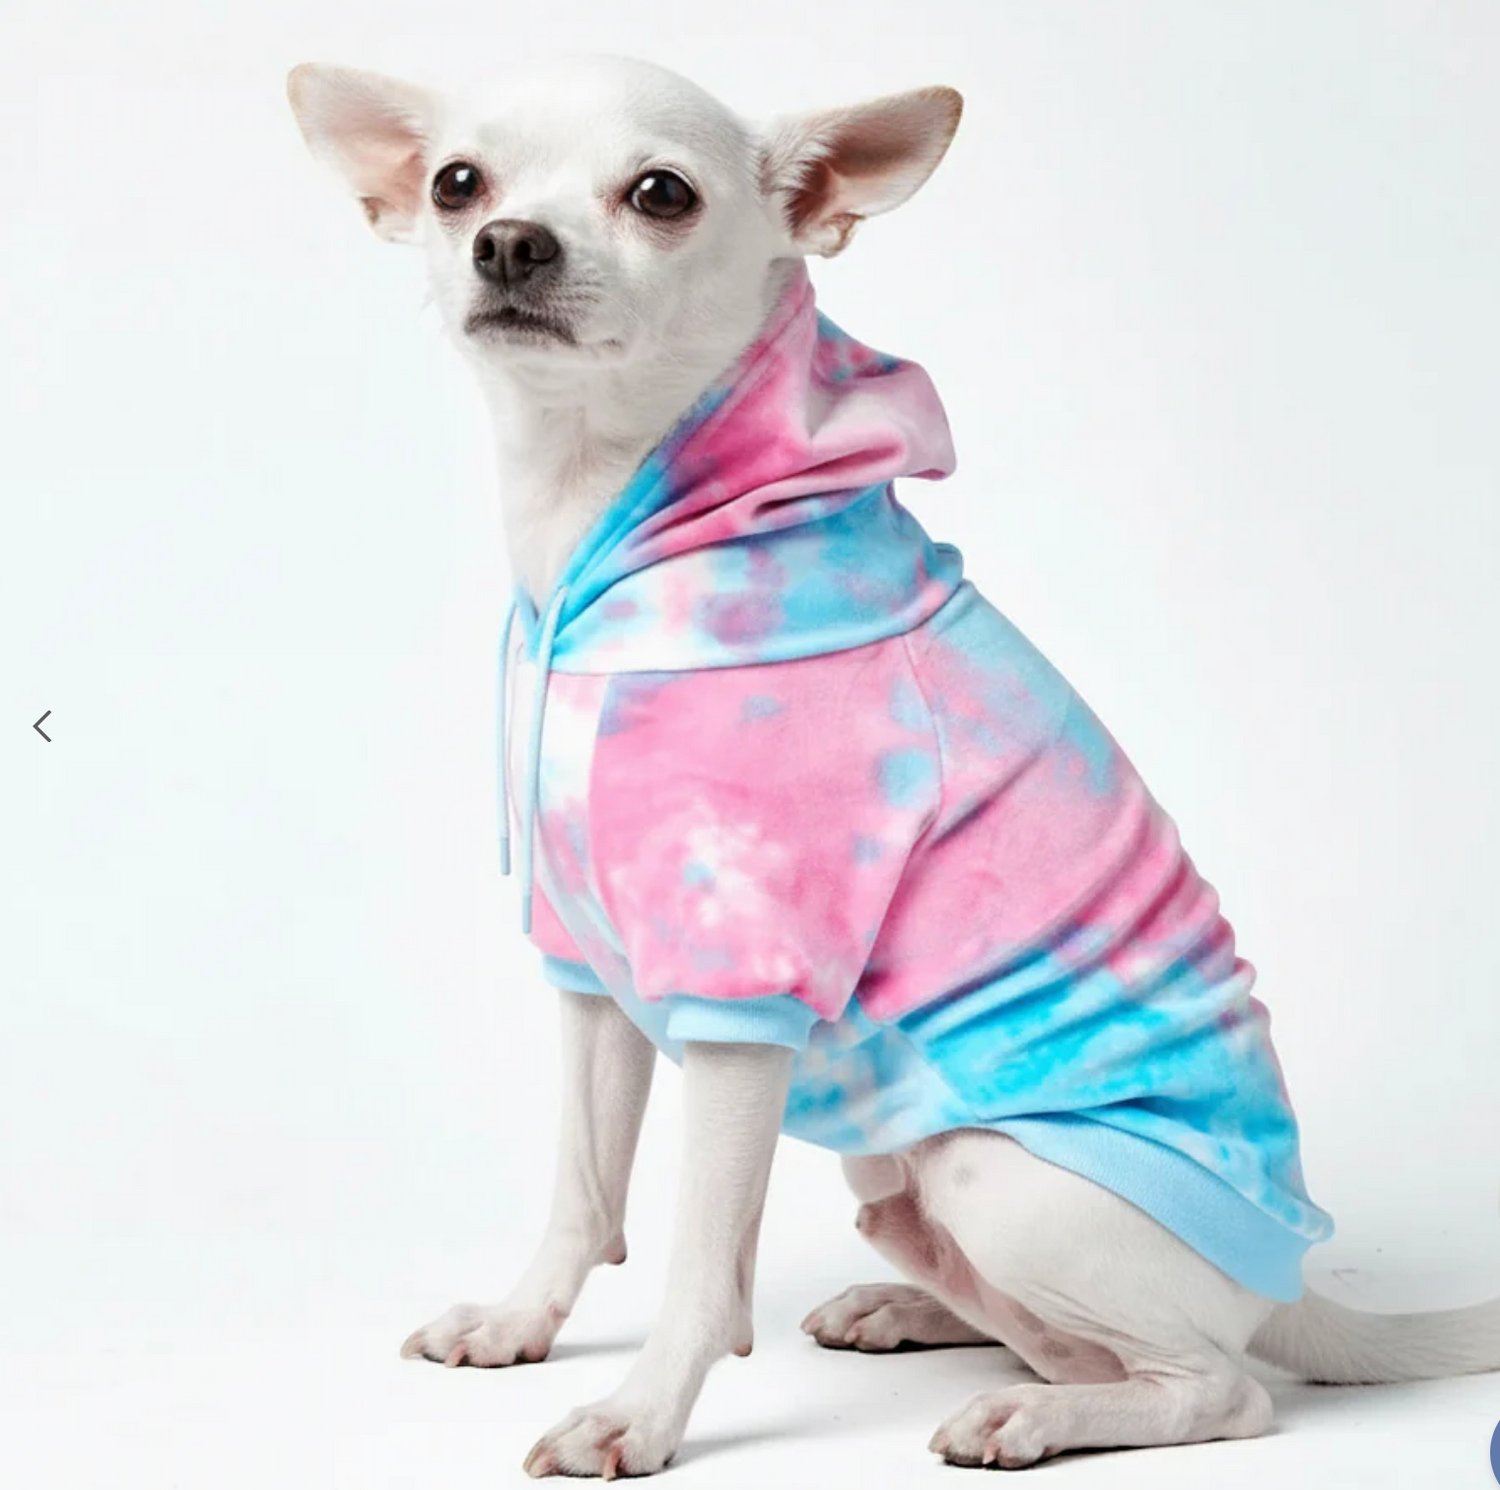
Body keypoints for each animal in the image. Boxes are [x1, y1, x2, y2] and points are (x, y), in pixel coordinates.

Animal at [287, 53, 1500, 1477]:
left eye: (660, 193)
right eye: (457, 182)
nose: (511, 242)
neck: (593, 512)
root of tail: (1289, 1282)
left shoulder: (743, 1001)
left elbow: (700, 1258)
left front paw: (638, 1414)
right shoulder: (588, 971)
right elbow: (583, 1187)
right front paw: (520, 1319)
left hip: (1004, 1177)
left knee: (1215, 1386)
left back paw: (1040, 1413)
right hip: (900, 1179)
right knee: (1052, 1330)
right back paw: (922, 1312)